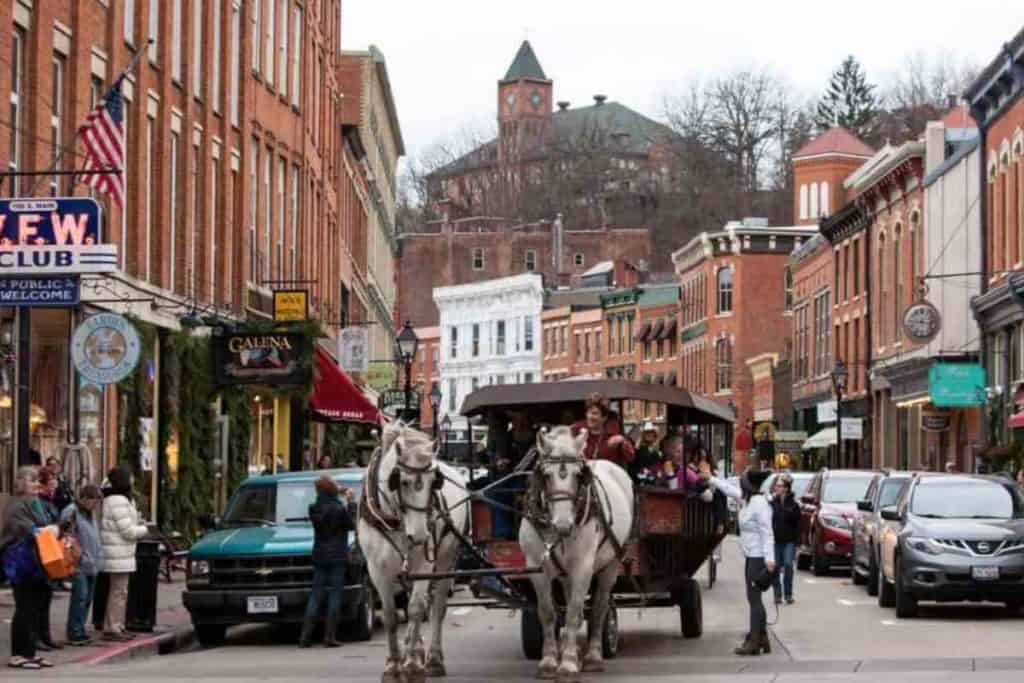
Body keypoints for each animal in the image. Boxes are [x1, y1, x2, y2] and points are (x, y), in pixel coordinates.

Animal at [358, 423, 468, 679]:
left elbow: (417, 609)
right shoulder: (376, 568)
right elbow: (390, 614)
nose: (419, 536)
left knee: (437, 607)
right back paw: (415, 648)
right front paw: (393, 665)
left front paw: (411, 666)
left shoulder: (424, 563)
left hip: (447, 559)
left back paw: (433, 659)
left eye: (433, 482)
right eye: (402, 481)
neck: (395, 518)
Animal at [524, 428, 634, 679]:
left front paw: (568, 664)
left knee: (600, 608)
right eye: (546, 475)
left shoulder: (583, 567)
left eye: (578, 475)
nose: (563, 525)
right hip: (566, 573)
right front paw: (549, 661)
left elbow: (575, 613)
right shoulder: (536, 567)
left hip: (610, 564)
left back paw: (592, 656)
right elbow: (547, 612)